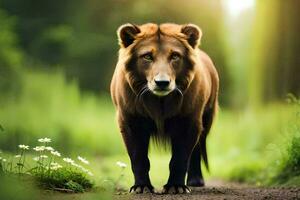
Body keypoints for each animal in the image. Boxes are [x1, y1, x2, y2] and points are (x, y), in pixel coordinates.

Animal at [110, 23, 218, 194]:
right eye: (147, 56)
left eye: (175, 56)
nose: (162, 82)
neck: (159, 101)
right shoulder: (131, 120)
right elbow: (138, 157)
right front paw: (141, 187)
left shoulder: (188, 120)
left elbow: (180, 158)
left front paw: (176, 186)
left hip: (206, 119)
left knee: (197, 150)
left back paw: (196, 180)